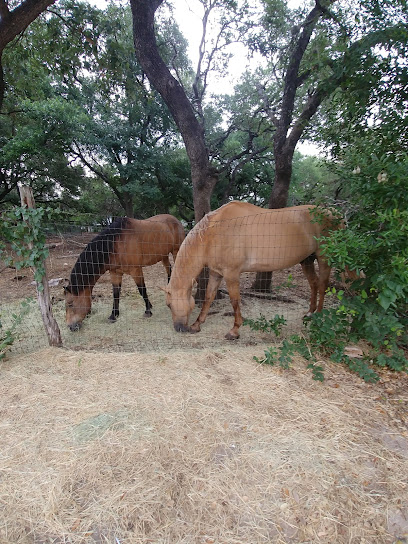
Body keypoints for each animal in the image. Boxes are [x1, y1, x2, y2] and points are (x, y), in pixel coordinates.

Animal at [164, 203, 340, 340]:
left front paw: (234, 331)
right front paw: (196, 325)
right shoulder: (216, 273)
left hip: (324, 258)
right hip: (307, 261)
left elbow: (235, 301)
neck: (214, 232)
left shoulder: (231, 274)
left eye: (169, 305)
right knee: (314, 283)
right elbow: (208, 297)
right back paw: (310, 313)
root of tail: (333, 213)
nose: (179, 328)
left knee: (322, 285)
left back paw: (319, 318)